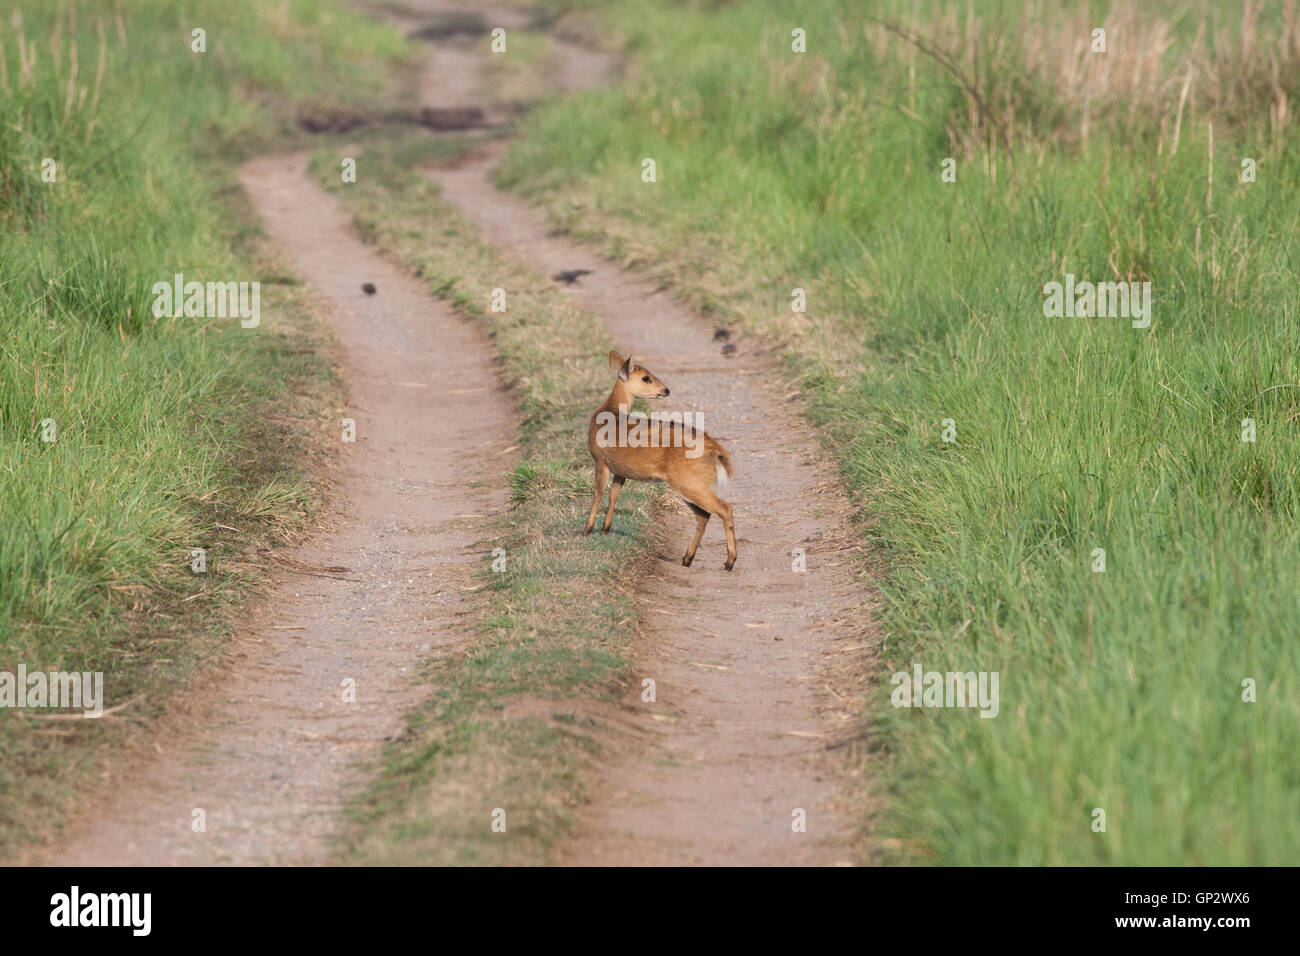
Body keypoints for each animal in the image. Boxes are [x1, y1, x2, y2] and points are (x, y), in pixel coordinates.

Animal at [585, 356, 738, 572]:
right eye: (646, 377)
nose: (666, 390)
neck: (609, 413)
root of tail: (716, 450)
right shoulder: (620, 470)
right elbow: (614, 495)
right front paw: (605, 529)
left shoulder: (601, 461)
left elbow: (597, 494)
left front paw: (587, 529)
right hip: (690, 484)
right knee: (704, 516)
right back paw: (687, 558)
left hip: (690, 482)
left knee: (725, 508)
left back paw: (729, 561)